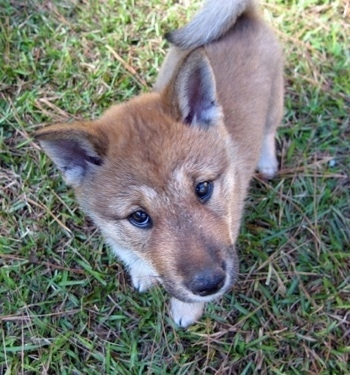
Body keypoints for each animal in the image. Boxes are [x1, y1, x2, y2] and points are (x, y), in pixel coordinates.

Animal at [35, 0, 284, 328]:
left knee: (269, 131)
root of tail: (245, 14)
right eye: (139, 217)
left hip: (275, 102)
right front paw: (143, 273)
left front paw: (186, 311)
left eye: (203, 188)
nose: (210, 284)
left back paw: (267, 162)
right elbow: (130, 251)